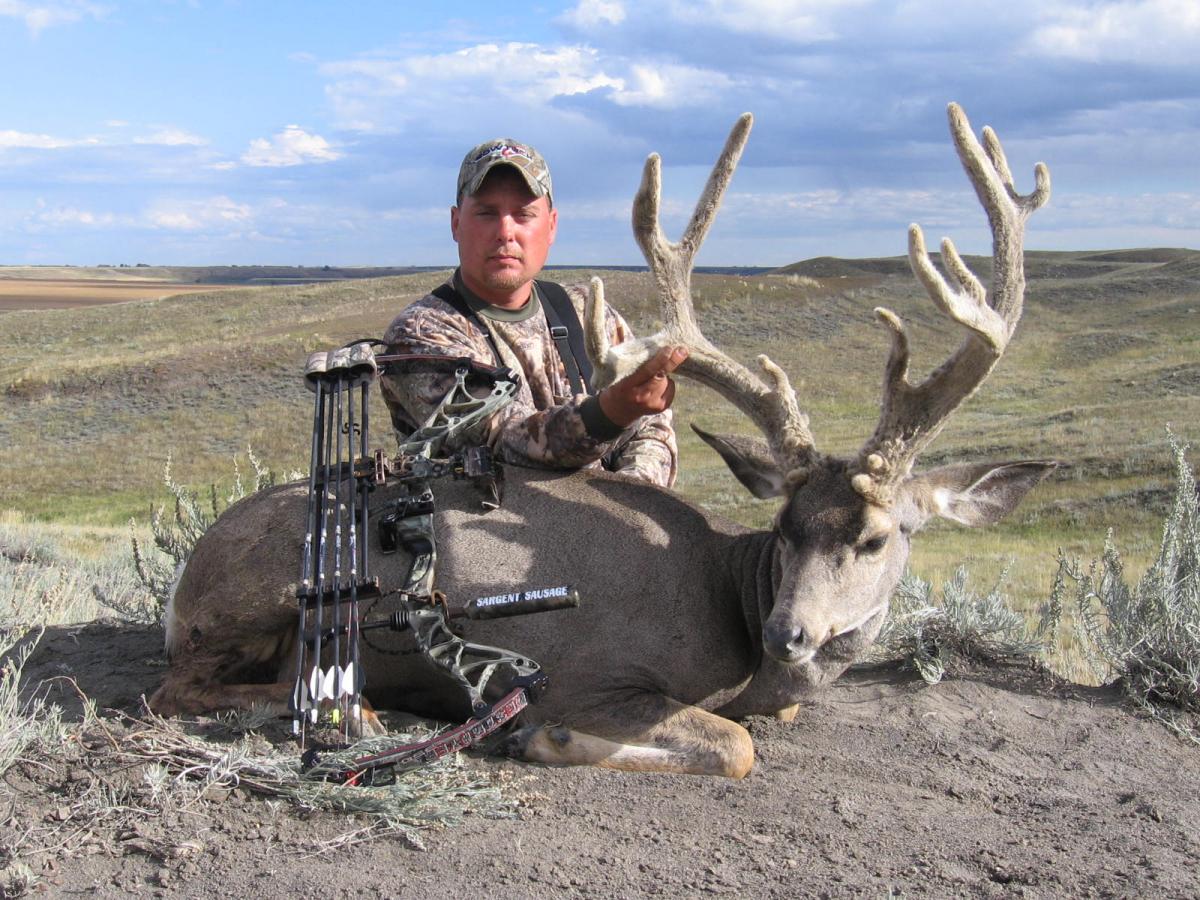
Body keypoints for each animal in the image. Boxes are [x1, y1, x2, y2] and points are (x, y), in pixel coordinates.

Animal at [151, 103, 1056, 778]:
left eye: (875, 537)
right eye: (788, 526)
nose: (788, 635)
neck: (728, 602)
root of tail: (186, 576)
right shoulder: (594, 674)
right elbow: (737, 745)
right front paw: (541, 735)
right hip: (254, 598)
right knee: (174, 689)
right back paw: (362, 710)